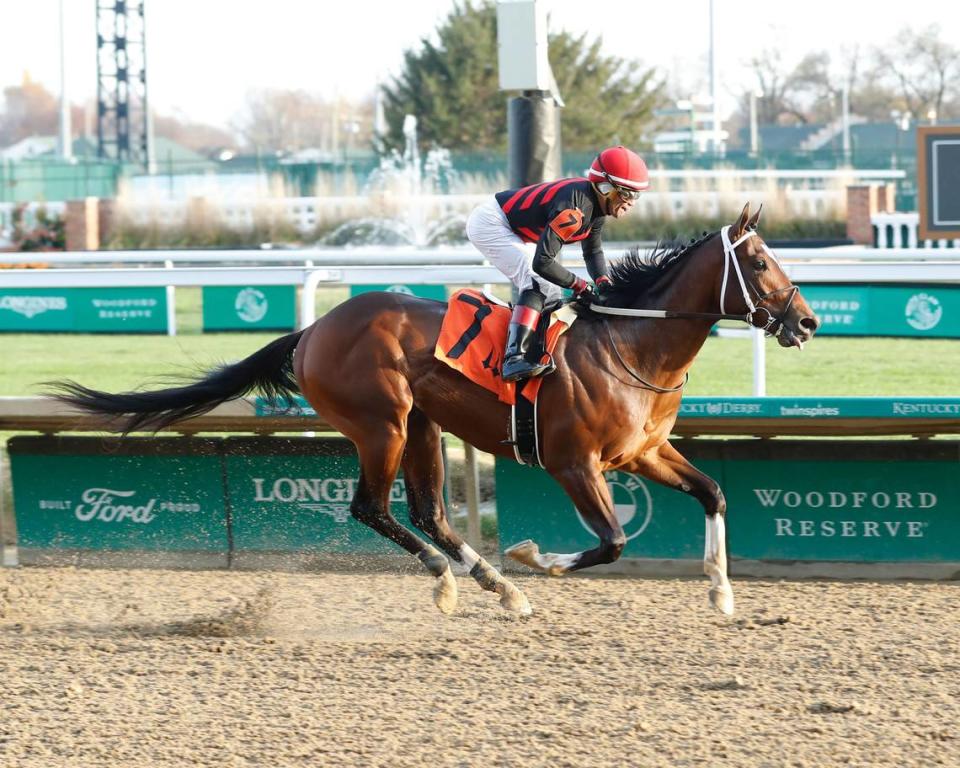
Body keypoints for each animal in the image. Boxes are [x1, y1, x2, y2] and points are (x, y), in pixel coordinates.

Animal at [48, 204, 816, 616]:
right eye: (761, 264)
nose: (806, 322)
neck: (631, 343)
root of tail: (314, 328)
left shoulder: (645, 451)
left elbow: (713, 493)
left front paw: (721, 593)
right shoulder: (575, 464)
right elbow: (612, 543)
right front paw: (536, 557)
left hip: (421, 425)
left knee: (428, 513)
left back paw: (495, 589)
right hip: (380, 423)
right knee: (373, 508)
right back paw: (464, 581)